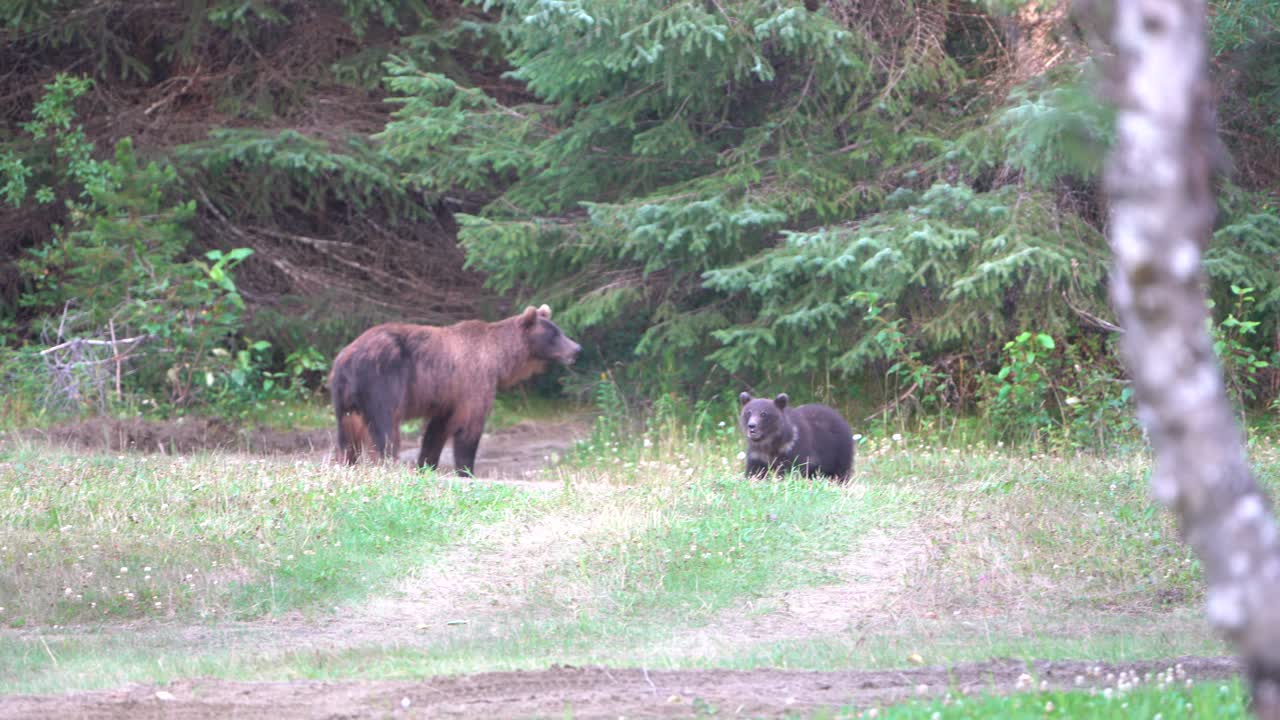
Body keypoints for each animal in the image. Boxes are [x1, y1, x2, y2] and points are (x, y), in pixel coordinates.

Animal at [329, 304, 581, 475]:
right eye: (554, 334)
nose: (577, 348)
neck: (500, 359)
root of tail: (346, 359)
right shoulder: (474, 383)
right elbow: (469, 429)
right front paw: (467, 471)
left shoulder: (447, 397)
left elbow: (436, 432)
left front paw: (426, 466)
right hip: (382, 381)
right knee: (386, 428)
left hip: (345, 399)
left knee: (347, 436)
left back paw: (347, 464)